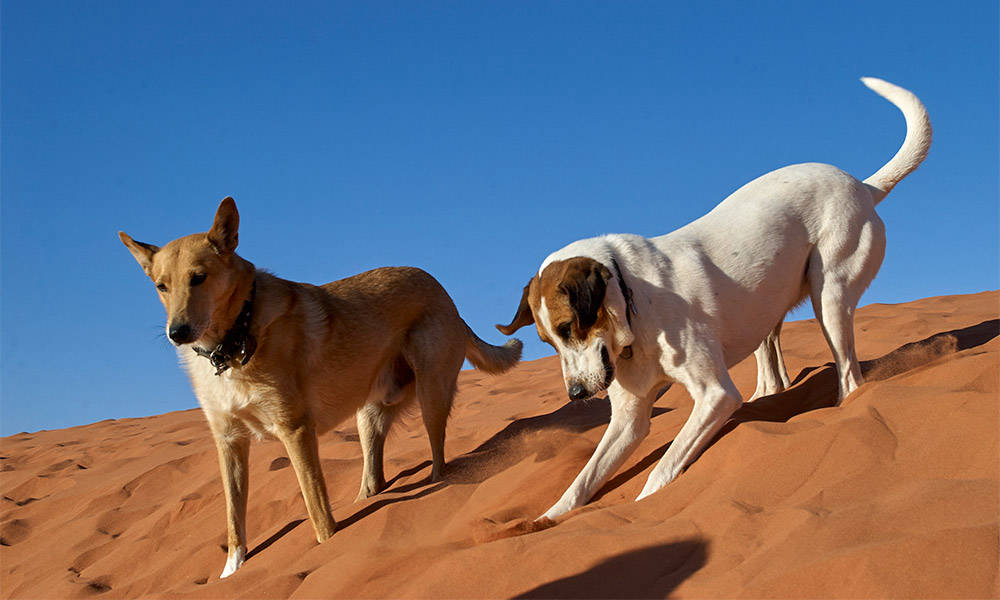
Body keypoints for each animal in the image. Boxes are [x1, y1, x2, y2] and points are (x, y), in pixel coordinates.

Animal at [121, 199, 520, 580]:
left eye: (199, 278)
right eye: (161, 286)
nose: (177, 333)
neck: (234, 340)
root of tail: (443, 292)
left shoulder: (295, 430)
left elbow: (318, 511)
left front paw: (329, 547)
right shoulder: (229, 442)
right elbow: (234, 519)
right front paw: (232, 572)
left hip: (431, 397)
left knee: (439, 462)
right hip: (369, 417)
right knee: (373, 479)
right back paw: (365, 500)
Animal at [498, 78, 928, 520]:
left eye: (569, 327)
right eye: (548, 342)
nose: (576, 395)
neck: (635, 301)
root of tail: (862, 185)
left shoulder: (715, 396)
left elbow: (662, 471)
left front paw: (646, 509)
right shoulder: (628, 421)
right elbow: (579, 484)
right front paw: (539, 522)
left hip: (830, 296)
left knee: (849, 375)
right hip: (765, 312)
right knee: (772, 367)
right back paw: (767, 397)